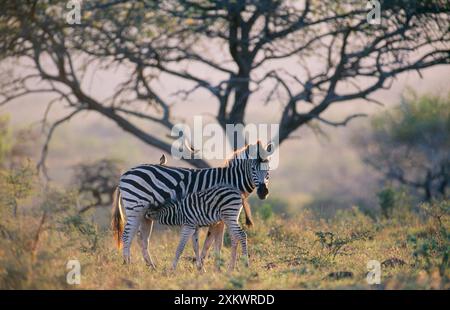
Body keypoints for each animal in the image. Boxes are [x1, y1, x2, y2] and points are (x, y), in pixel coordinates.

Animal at [111, 142, 274, 266]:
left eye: (268, 169)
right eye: (253, 169)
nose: (263, 192)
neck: (230, 180)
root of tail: (125, 175)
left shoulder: (220, 217)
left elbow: (214, 243)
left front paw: (210, 267)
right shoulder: (218, 215)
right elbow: (212, 243)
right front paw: (210, 267)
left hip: (145, 214)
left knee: (142, 239)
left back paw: (151, 267)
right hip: (135, 207)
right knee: (127, 236)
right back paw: (128, 266)